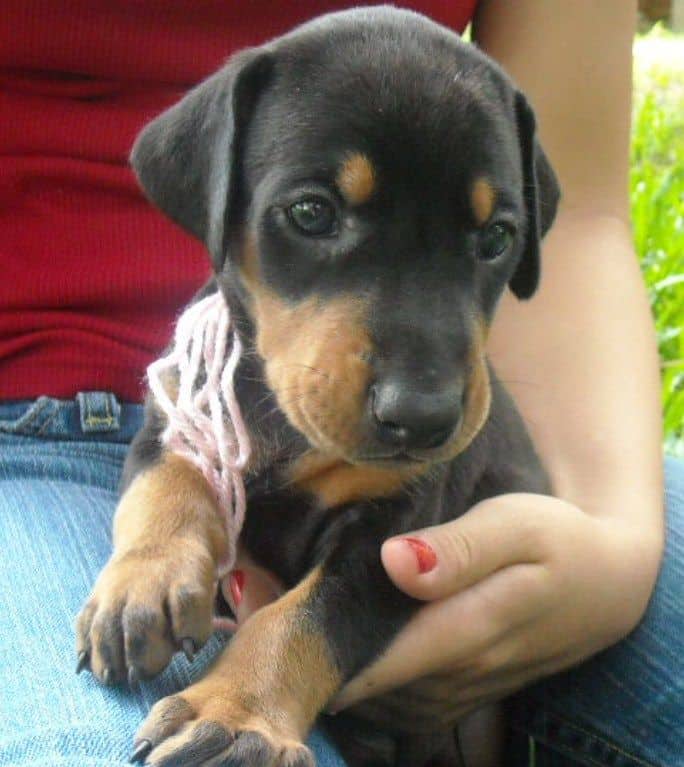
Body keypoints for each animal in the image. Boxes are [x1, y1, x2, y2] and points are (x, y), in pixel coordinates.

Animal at [76, 7, 556, 767]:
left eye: (497, 237)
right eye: (311, 213)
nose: (424, 419)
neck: (284, 419)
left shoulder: (398, 534)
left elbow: (305, 617)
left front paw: (234, 715)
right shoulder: (172, 414)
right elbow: (165, 483)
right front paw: (139, 585)